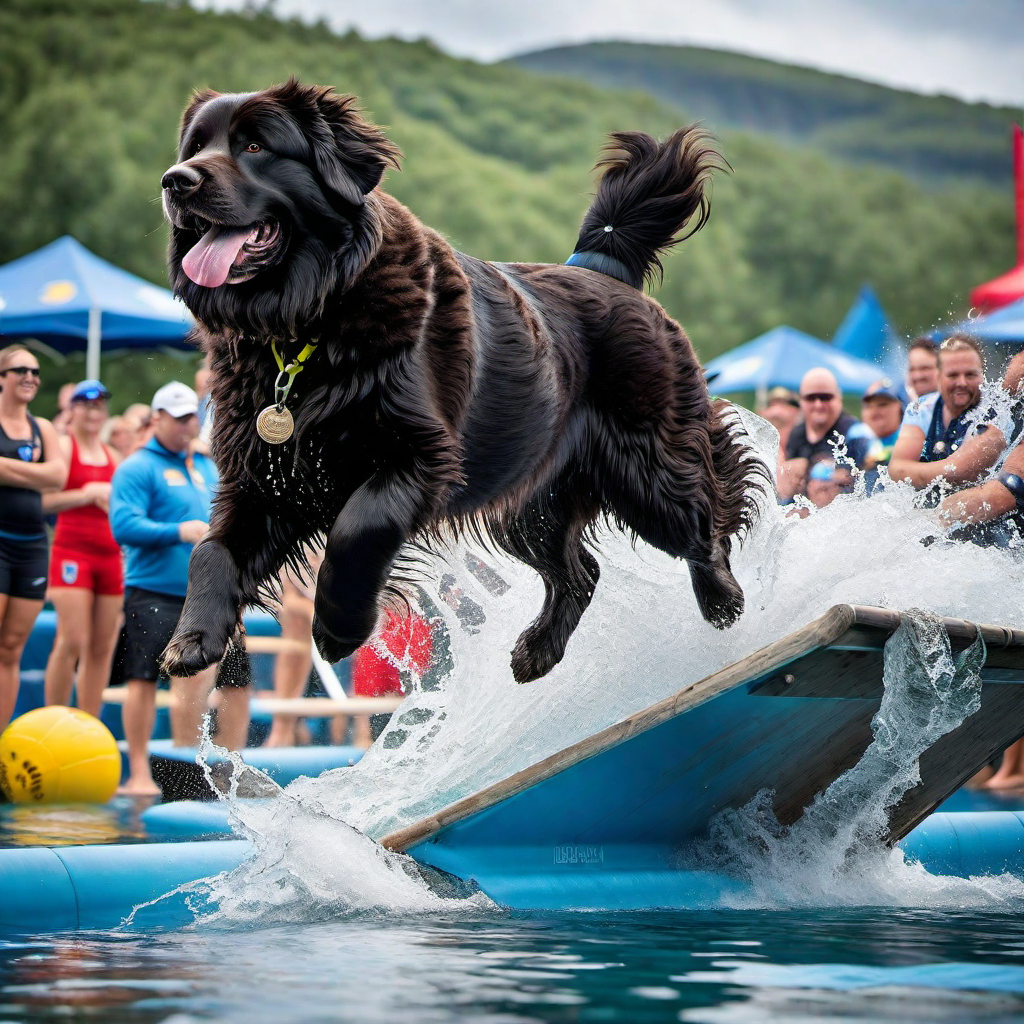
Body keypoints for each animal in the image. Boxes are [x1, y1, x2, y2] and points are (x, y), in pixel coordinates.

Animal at [159, 79, 761, 684]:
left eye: (256, 146)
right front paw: (194, 638)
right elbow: (210, 551)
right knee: (581, 570)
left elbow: (358, 527)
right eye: (194, 148)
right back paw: (537, 650)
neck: (307, 326)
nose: (175, 180)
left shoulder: (420, 456)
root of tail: (601, 268)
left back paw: (725, 602)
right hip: (530, 496)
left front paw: (339, 627)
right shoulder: (265, 477)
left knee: (706, 524)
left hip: (649, 469)